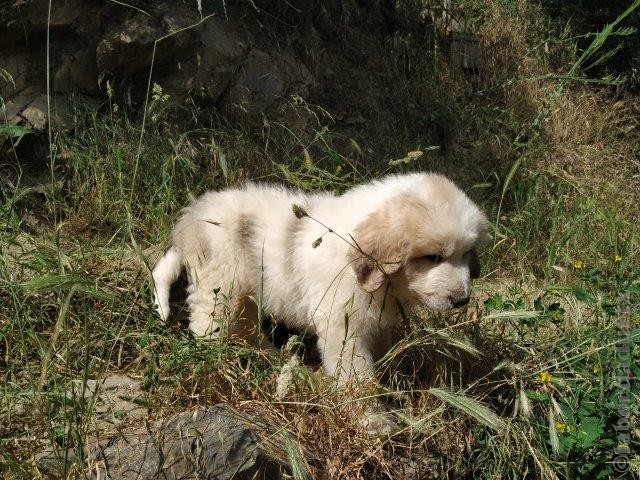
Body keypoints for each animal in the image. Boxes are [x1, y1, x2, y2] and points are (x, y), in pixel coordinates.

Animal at [152, 172, 488, 382]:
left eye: (466, 253)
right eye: (434, 257)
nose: (462, 300)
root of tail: (191, 219)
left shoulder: (377, 321)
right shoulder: (343, 326)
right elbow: (355, 374)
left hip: (242, 294)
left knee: (243, 329)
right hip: (220, 287)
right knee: (208, 327)